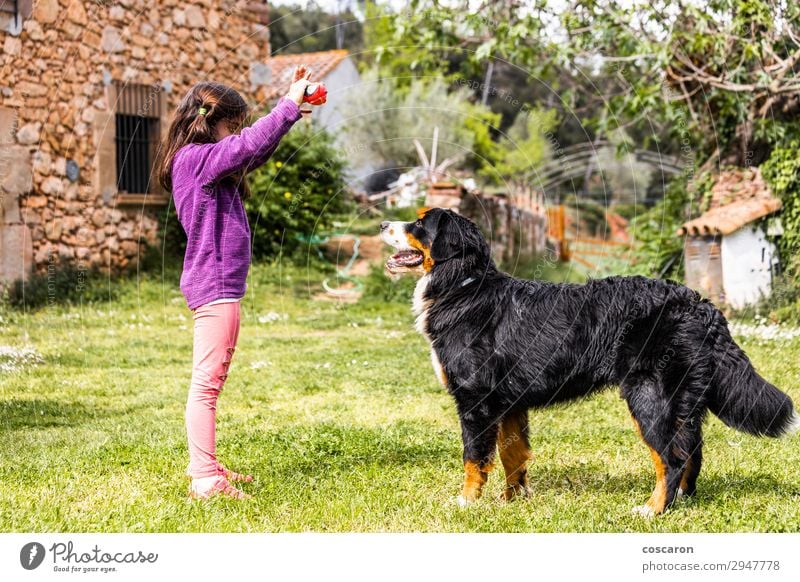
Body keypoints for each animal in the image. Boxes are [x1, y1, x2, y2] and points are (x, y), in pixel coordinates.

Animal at [382, 209, 800, 516]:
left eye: (419, 223)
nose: (382, 224)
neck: (463, 286)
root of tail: (700, 304)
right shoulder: (508, 403)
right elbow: (512, 456)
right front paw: (512, 501)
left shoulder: (476, 400)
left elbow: (474, 458)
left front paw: (466, 502)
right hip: (682, 401)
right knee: (691, 453)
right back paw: (681, 502)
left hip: (648, 395)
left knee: (671, 458)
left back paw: (653, 510)